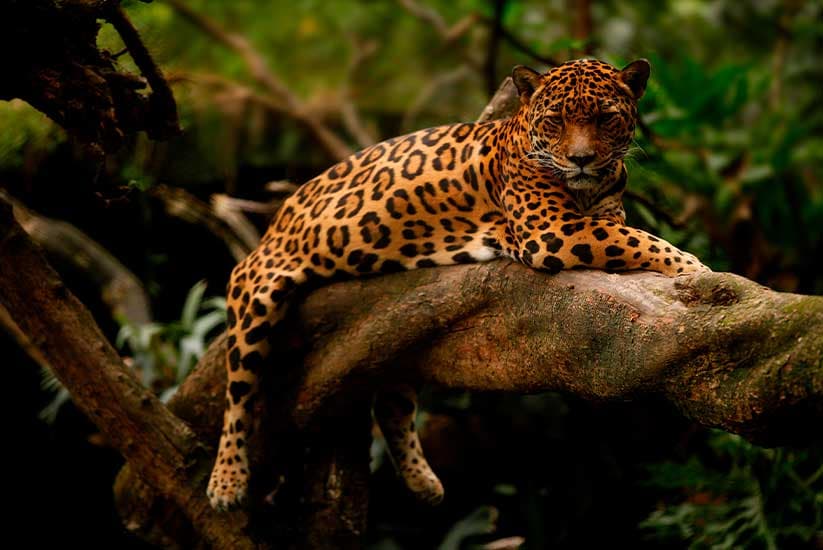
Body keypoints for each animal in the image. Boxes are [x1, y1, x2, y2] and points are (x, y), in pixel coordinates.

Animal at [207, 58, 709, 511]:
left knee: (391, 398)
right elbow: (635, 238)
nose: (581, 160)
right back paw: (226, 482)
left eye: (605, 118)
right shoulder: (553, 230)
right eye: (555, 121)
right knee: (238, 395)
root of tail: (275, 219)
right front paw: (694, 266)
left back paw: (422, 481)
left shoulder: (600, 214)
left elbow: (627, 233)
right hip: (255, 289)